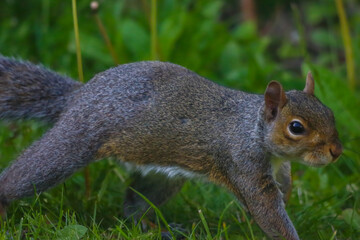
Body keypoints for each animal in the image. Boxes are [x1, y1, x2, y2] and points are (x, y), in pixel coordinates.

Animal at [0, 56, 344, 240]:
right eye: (296, 128)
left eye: (330, 112)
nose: (337, 151)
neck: (252, 128)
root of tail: (79, 95)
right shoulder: (242, 163)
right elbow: (267, 211)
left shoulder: (275, 164)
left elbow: (283, 181)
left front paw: (288, 189)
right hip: (73, 142)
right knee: (25, 174)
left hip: (162, 176)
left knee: (134, 207)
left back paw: (157, 229)